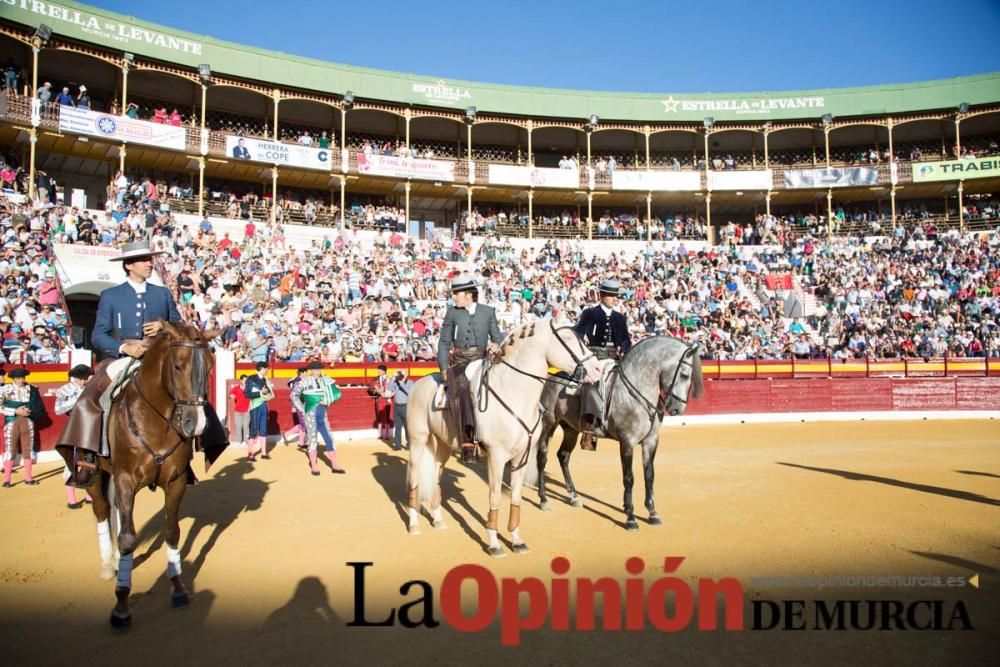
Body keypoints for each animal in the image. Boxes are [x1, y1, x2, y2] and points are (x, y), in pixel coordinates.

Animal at [85, 320, 219, 628]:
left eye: (209, 366)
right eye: (178, 366)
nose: (196, 424)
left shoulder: (176, 480)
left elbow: (172, 531)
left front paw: (179, 589)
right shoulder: (125, 479)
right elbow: (127, 538)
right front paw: (121, 605)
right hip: (94, 474)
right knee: (101, 510)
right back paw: (107, 565)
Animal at [404, 320, 600, 556]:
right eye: (569, 338)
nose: (597, 369)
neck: (514, 393)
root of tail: (419, 383)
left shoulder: (521, 457)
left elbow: (515, 497)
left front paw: (516, 540)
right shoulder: (496, 457)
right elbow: (495, 496)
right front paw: (494, 543)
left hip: (443, 445)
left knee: (435, 475)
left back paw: (438, 520)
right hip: (418, 441)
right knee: (414, 477)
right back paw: (414, 524)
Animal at [528, 340, 708, 532]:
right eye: (684, 374)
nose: (677, 409)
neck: (639, 389)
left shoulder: (651, 441)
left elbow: (649, 475)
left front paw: (652, 512)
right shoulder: (627, 441)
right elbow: (629, 478)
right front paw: (630, 516)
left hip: (571, 429)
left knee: (563, 456)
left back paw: (574, 496)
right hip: (548, 424)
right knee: (542, 457)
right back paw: (543, 499)